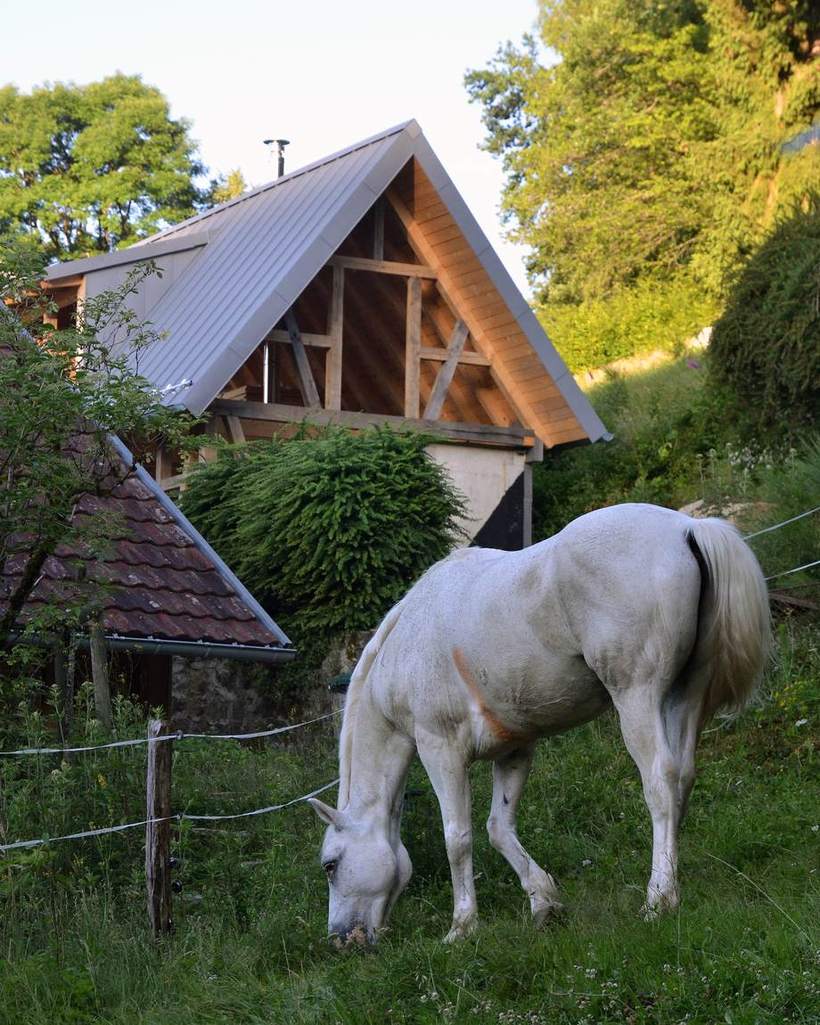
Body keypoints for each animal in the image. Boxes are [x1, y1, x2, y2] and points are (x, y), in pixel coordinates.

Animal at [309, 503, 770, 945]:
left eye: (330, 865)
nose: (339, 939)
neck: (408, 643)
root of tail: (686, 528)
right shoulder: (515, 748)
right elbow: (499, 828)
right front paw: (543, 902)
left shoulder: (440, 748)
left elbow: (457, 838)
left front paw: (462, 926)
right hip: (685, 694)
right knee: (683, 779)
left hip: (637, 698)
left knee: (660, 783)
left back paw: (659, 897)